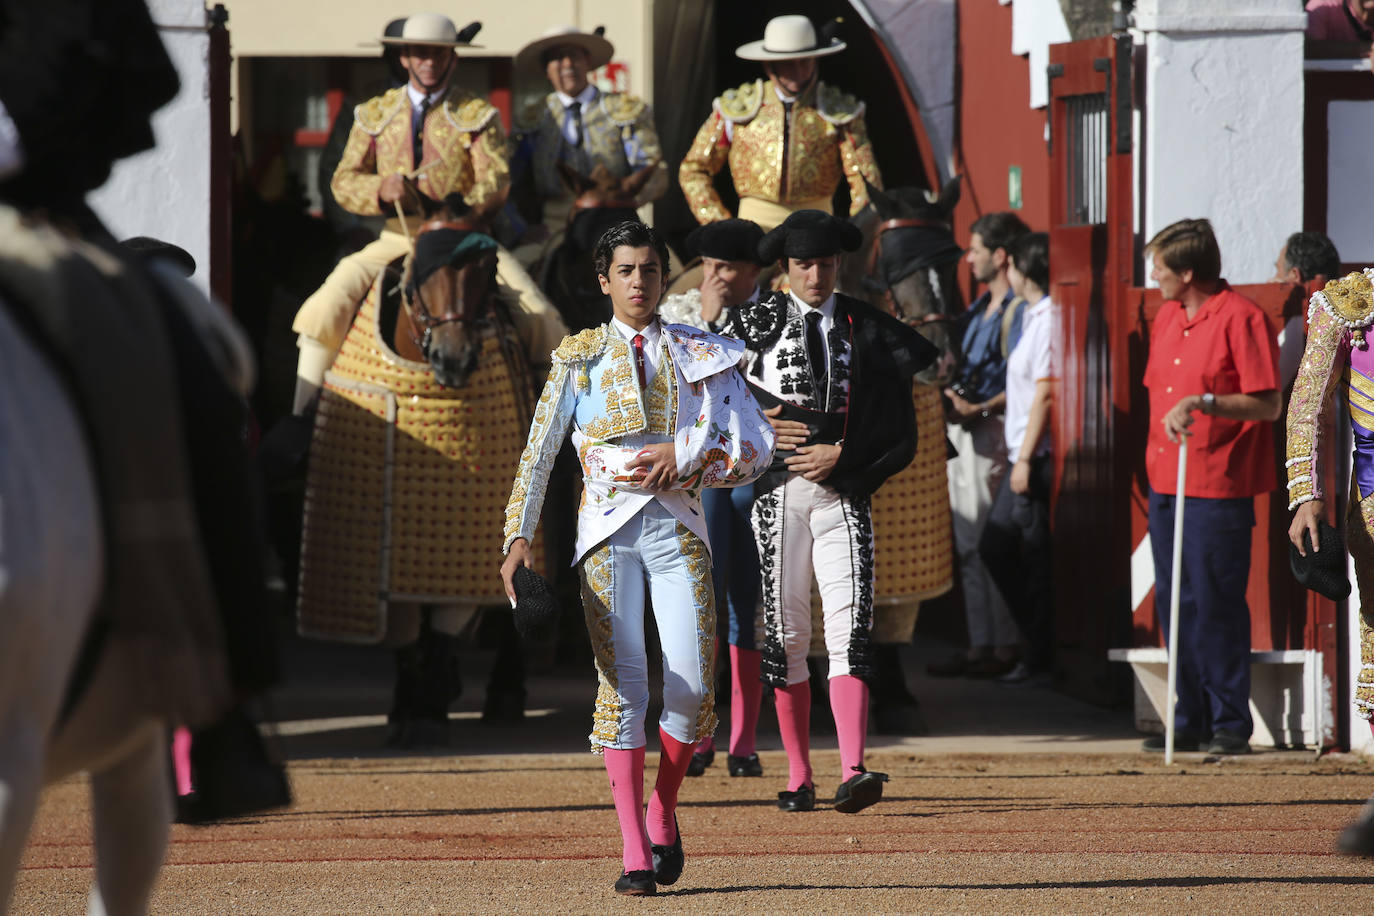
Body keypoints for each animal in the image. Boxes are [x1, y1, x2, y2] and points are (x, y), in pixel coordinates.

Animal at [298, 210, 544, 747]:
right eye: (416, 281)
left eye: (489, 270)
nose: (455, 360)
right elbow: (407, 632)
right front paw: (408, 709)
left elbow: (445, 624)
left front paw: (429, 714)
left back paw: (503, 692)